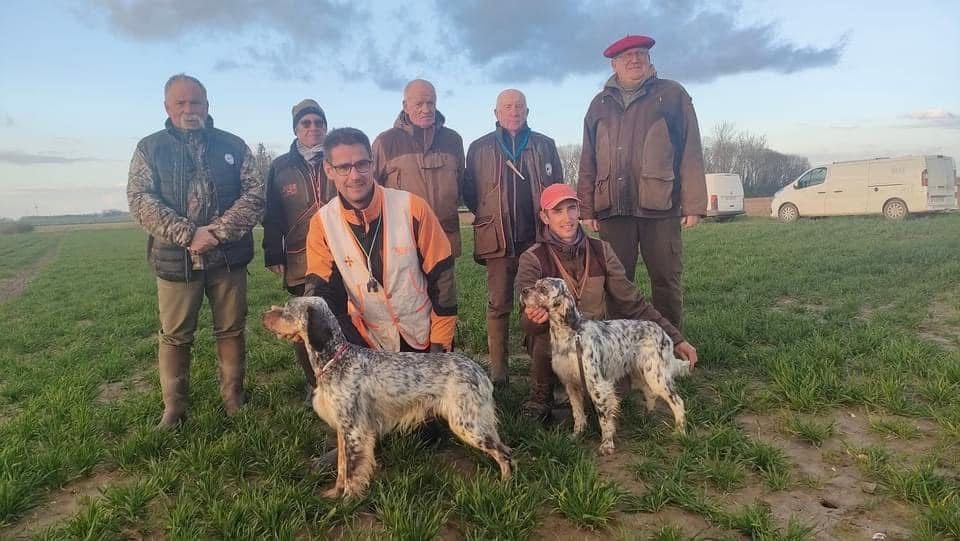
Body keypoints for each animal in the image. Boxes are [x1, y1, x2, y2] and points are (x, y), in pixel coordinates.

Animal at [258, 296, 512, 498]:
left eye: (287, 310)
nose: (263, 315)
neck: (337, 359)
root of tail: (477, 368)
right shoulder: (343, 429)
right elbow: (341, 468)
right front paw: (334, 493)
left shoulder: (354, 430)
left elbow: (351, 471)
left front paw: (347, 500)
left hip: (467, 424)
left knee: (505, 452)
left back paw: (505, 486)